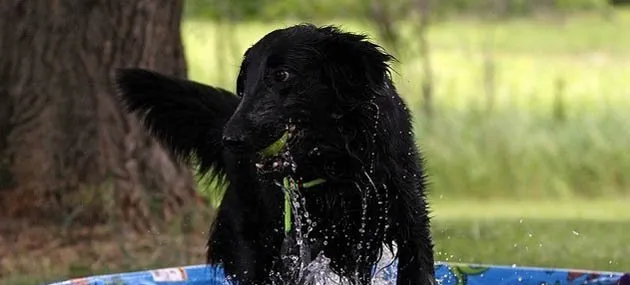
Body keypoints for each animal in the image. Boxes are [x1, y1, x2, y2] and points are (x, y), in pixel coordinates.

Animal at [115, 23, 434, 282]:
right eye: (245, 82)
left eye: (281, 75)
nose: (230, 139)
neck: (338, 163)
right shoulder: (297, 245)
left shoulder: (411, 221)